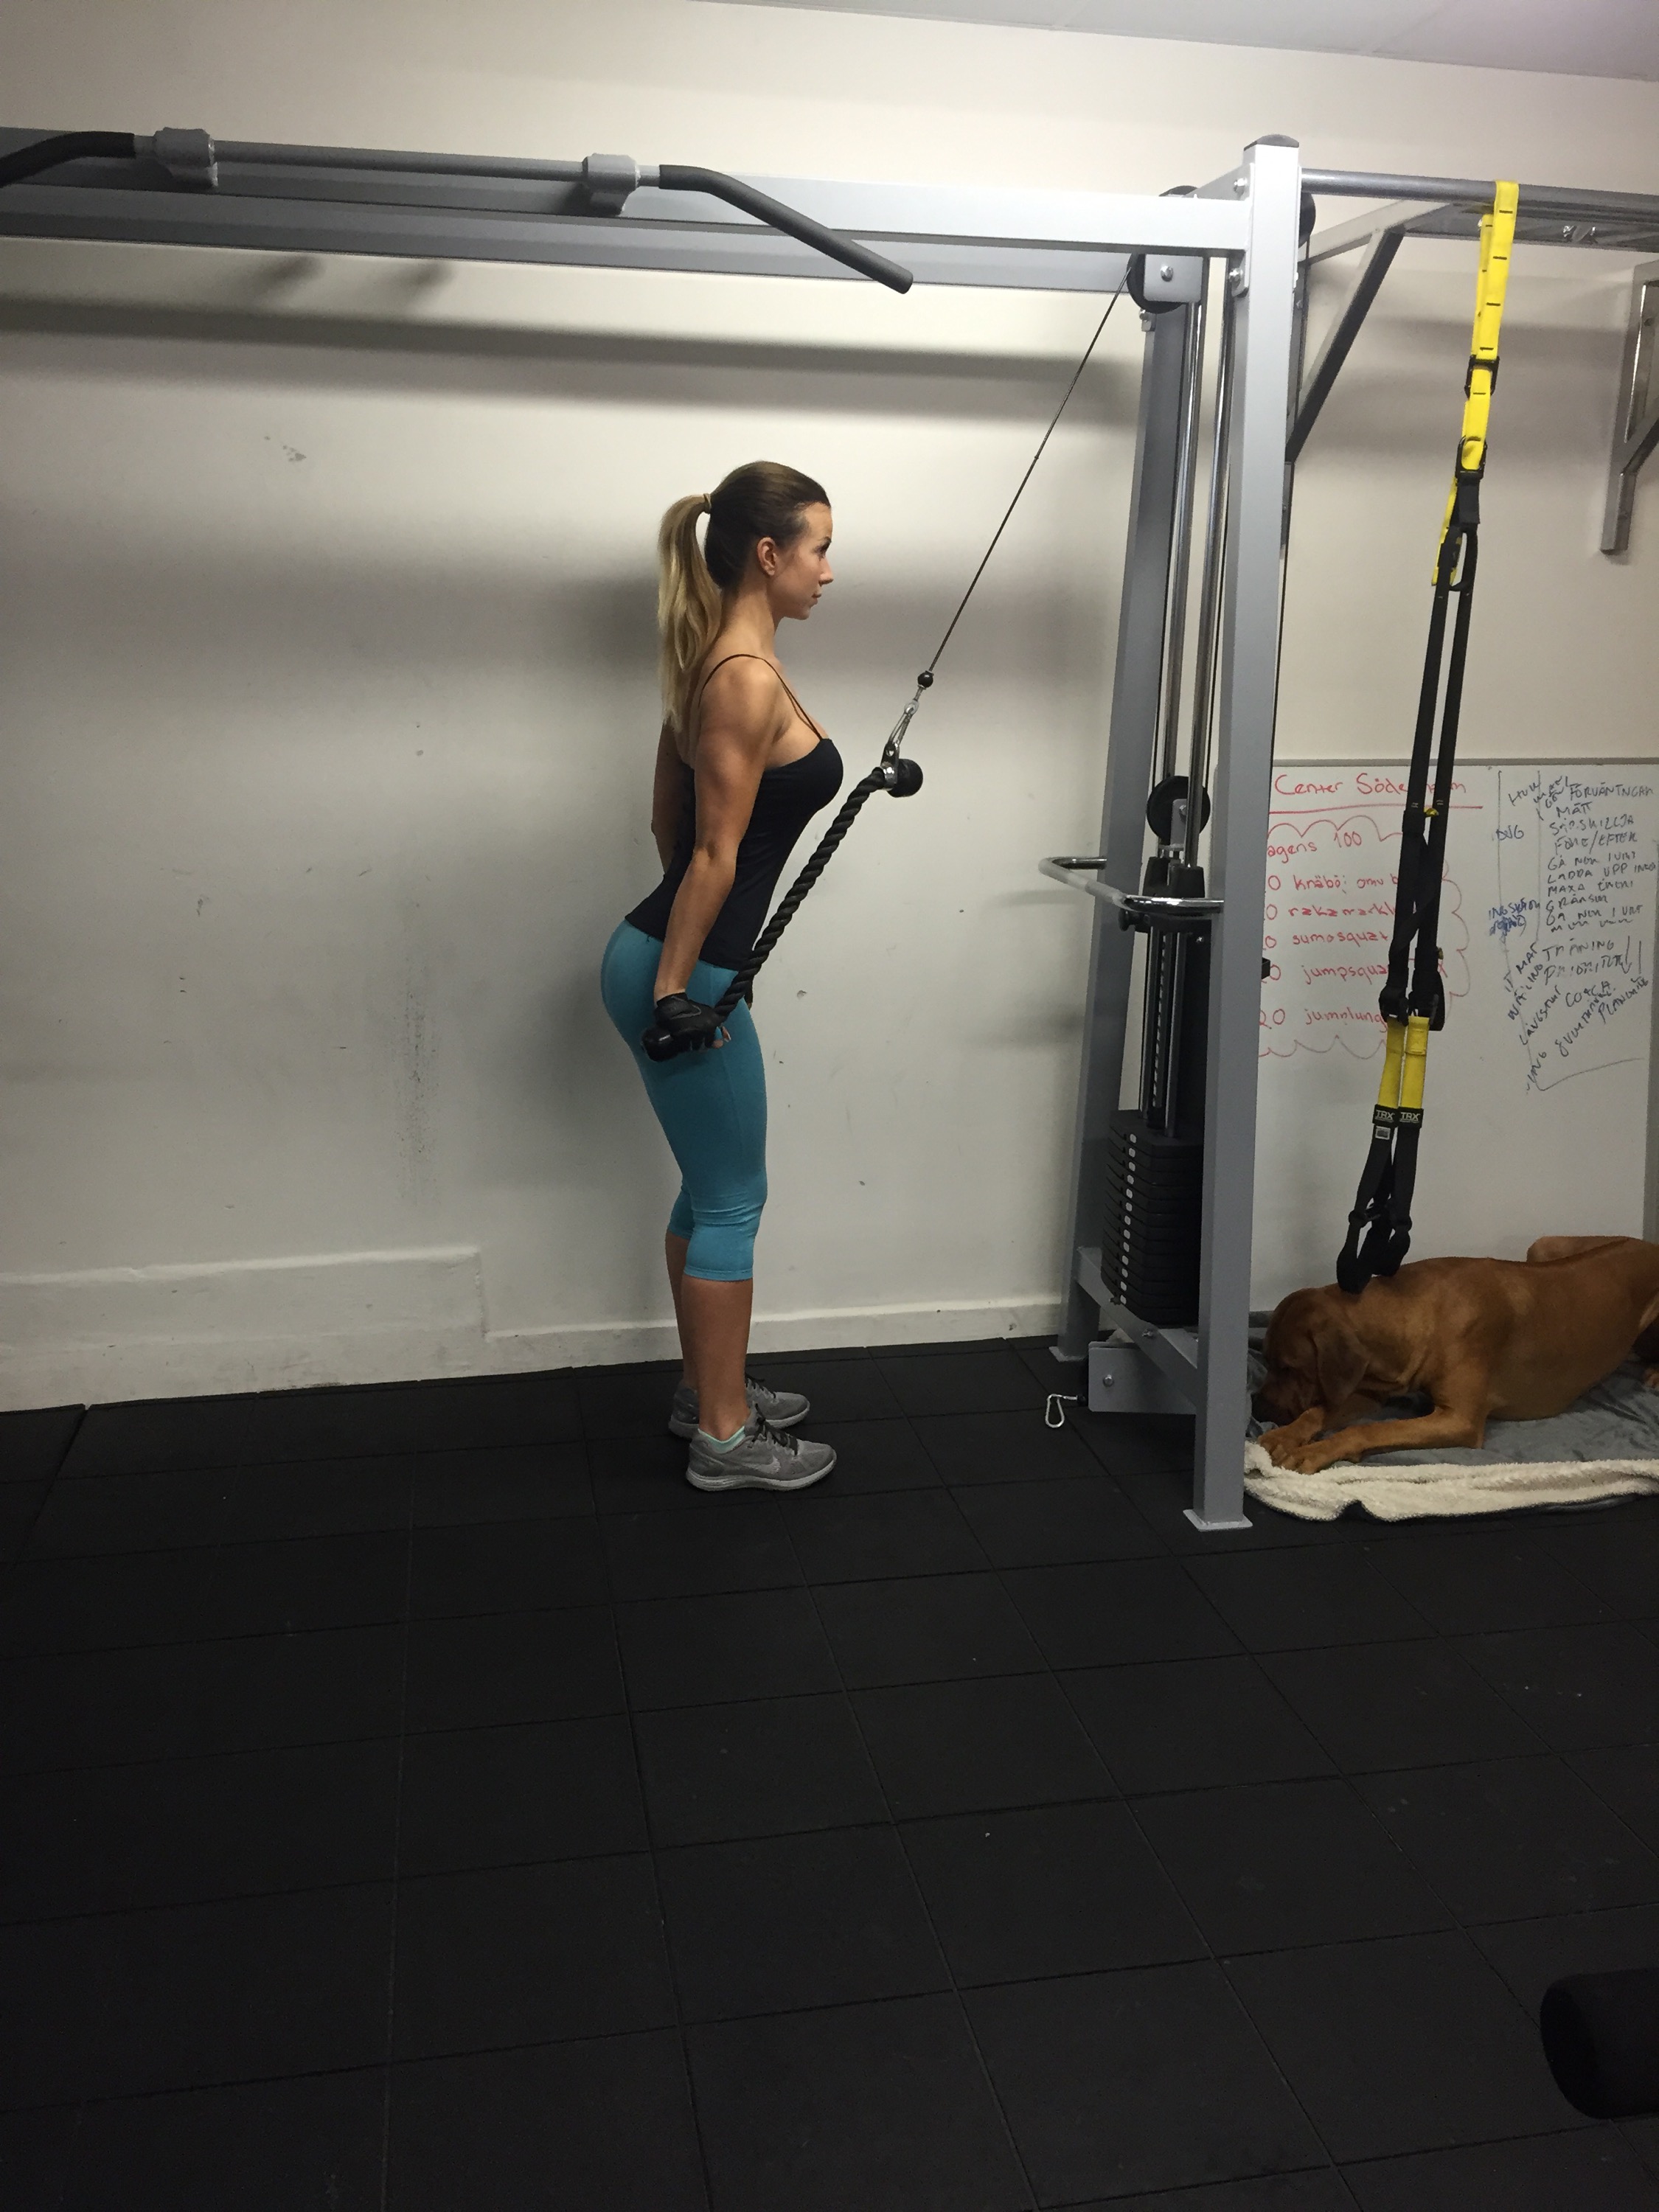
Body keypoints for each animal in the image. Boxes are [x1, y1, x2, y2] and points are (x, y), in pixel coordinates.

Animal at [1255, 1235, 1659, 1474]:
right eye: (1267, 1360)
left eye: (1289, 1367)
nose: (1259, 1407)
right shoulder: (1371, 1387)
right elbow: (1321, 1409)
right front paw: (1288, 1434)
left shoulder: (1459, 1420)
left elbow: (1370, 1428)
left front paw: (1318, 1450)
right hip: (1543, 1246)